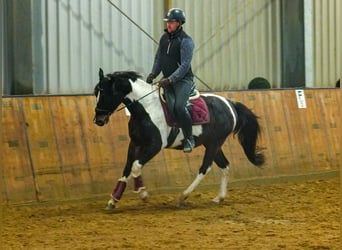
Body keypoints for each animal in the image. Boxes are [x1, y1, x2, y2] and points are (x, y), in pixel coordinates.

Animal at [92, 68, 264, 209]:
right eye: (96, 93)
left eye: (106, 92)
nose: (98, 120)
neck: (147, 108)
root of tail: (230, 103)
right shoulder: (135, 143)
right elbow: (127, 169)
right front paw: (113, 200)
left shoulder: (154, 145)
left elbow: (135, 166)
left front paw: (143, 194)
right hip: (212, 143)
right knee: (225, 166)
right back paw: (219, 198)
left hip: (214, 144)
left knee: (205, 168)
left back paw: (183, 197)